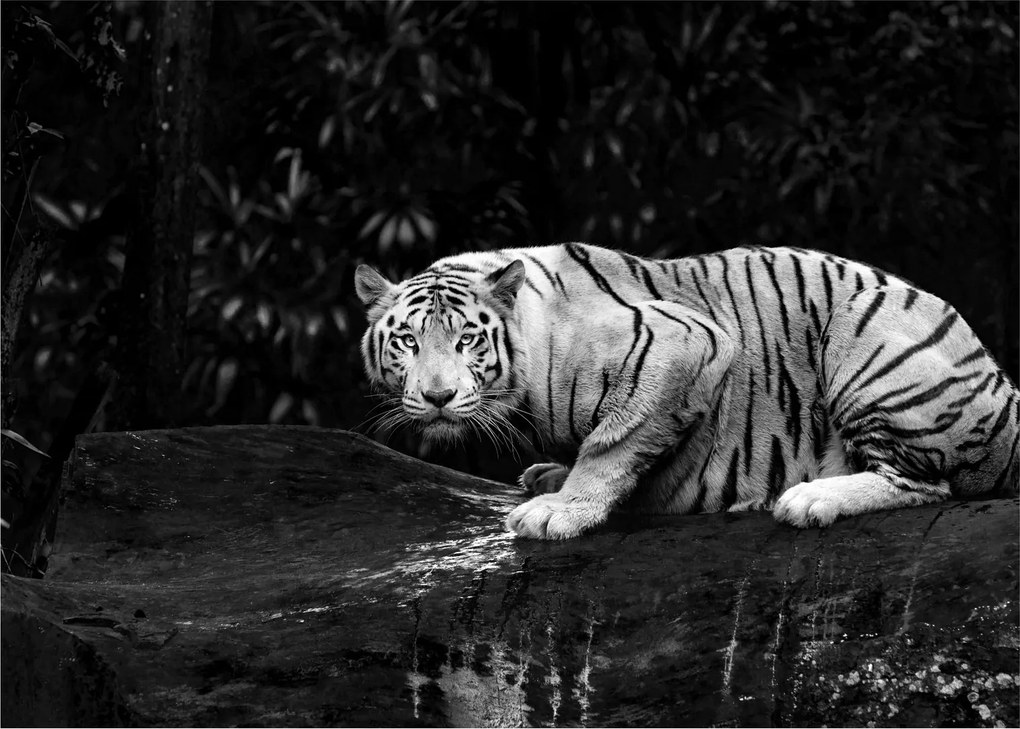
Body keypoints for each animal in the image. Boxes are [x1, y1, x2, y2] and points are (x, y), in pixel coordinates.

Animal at [355, 243, 1019, 540]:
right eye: (408, 342)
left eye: (467, 339)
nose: (438, 397)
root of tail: (1007, 393)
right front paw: (549, 477)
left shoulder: (684, 341)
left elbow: (613, 442)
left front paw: (560, 509)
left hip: (867, 331)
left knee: (925, 483)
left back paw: (808, 498)